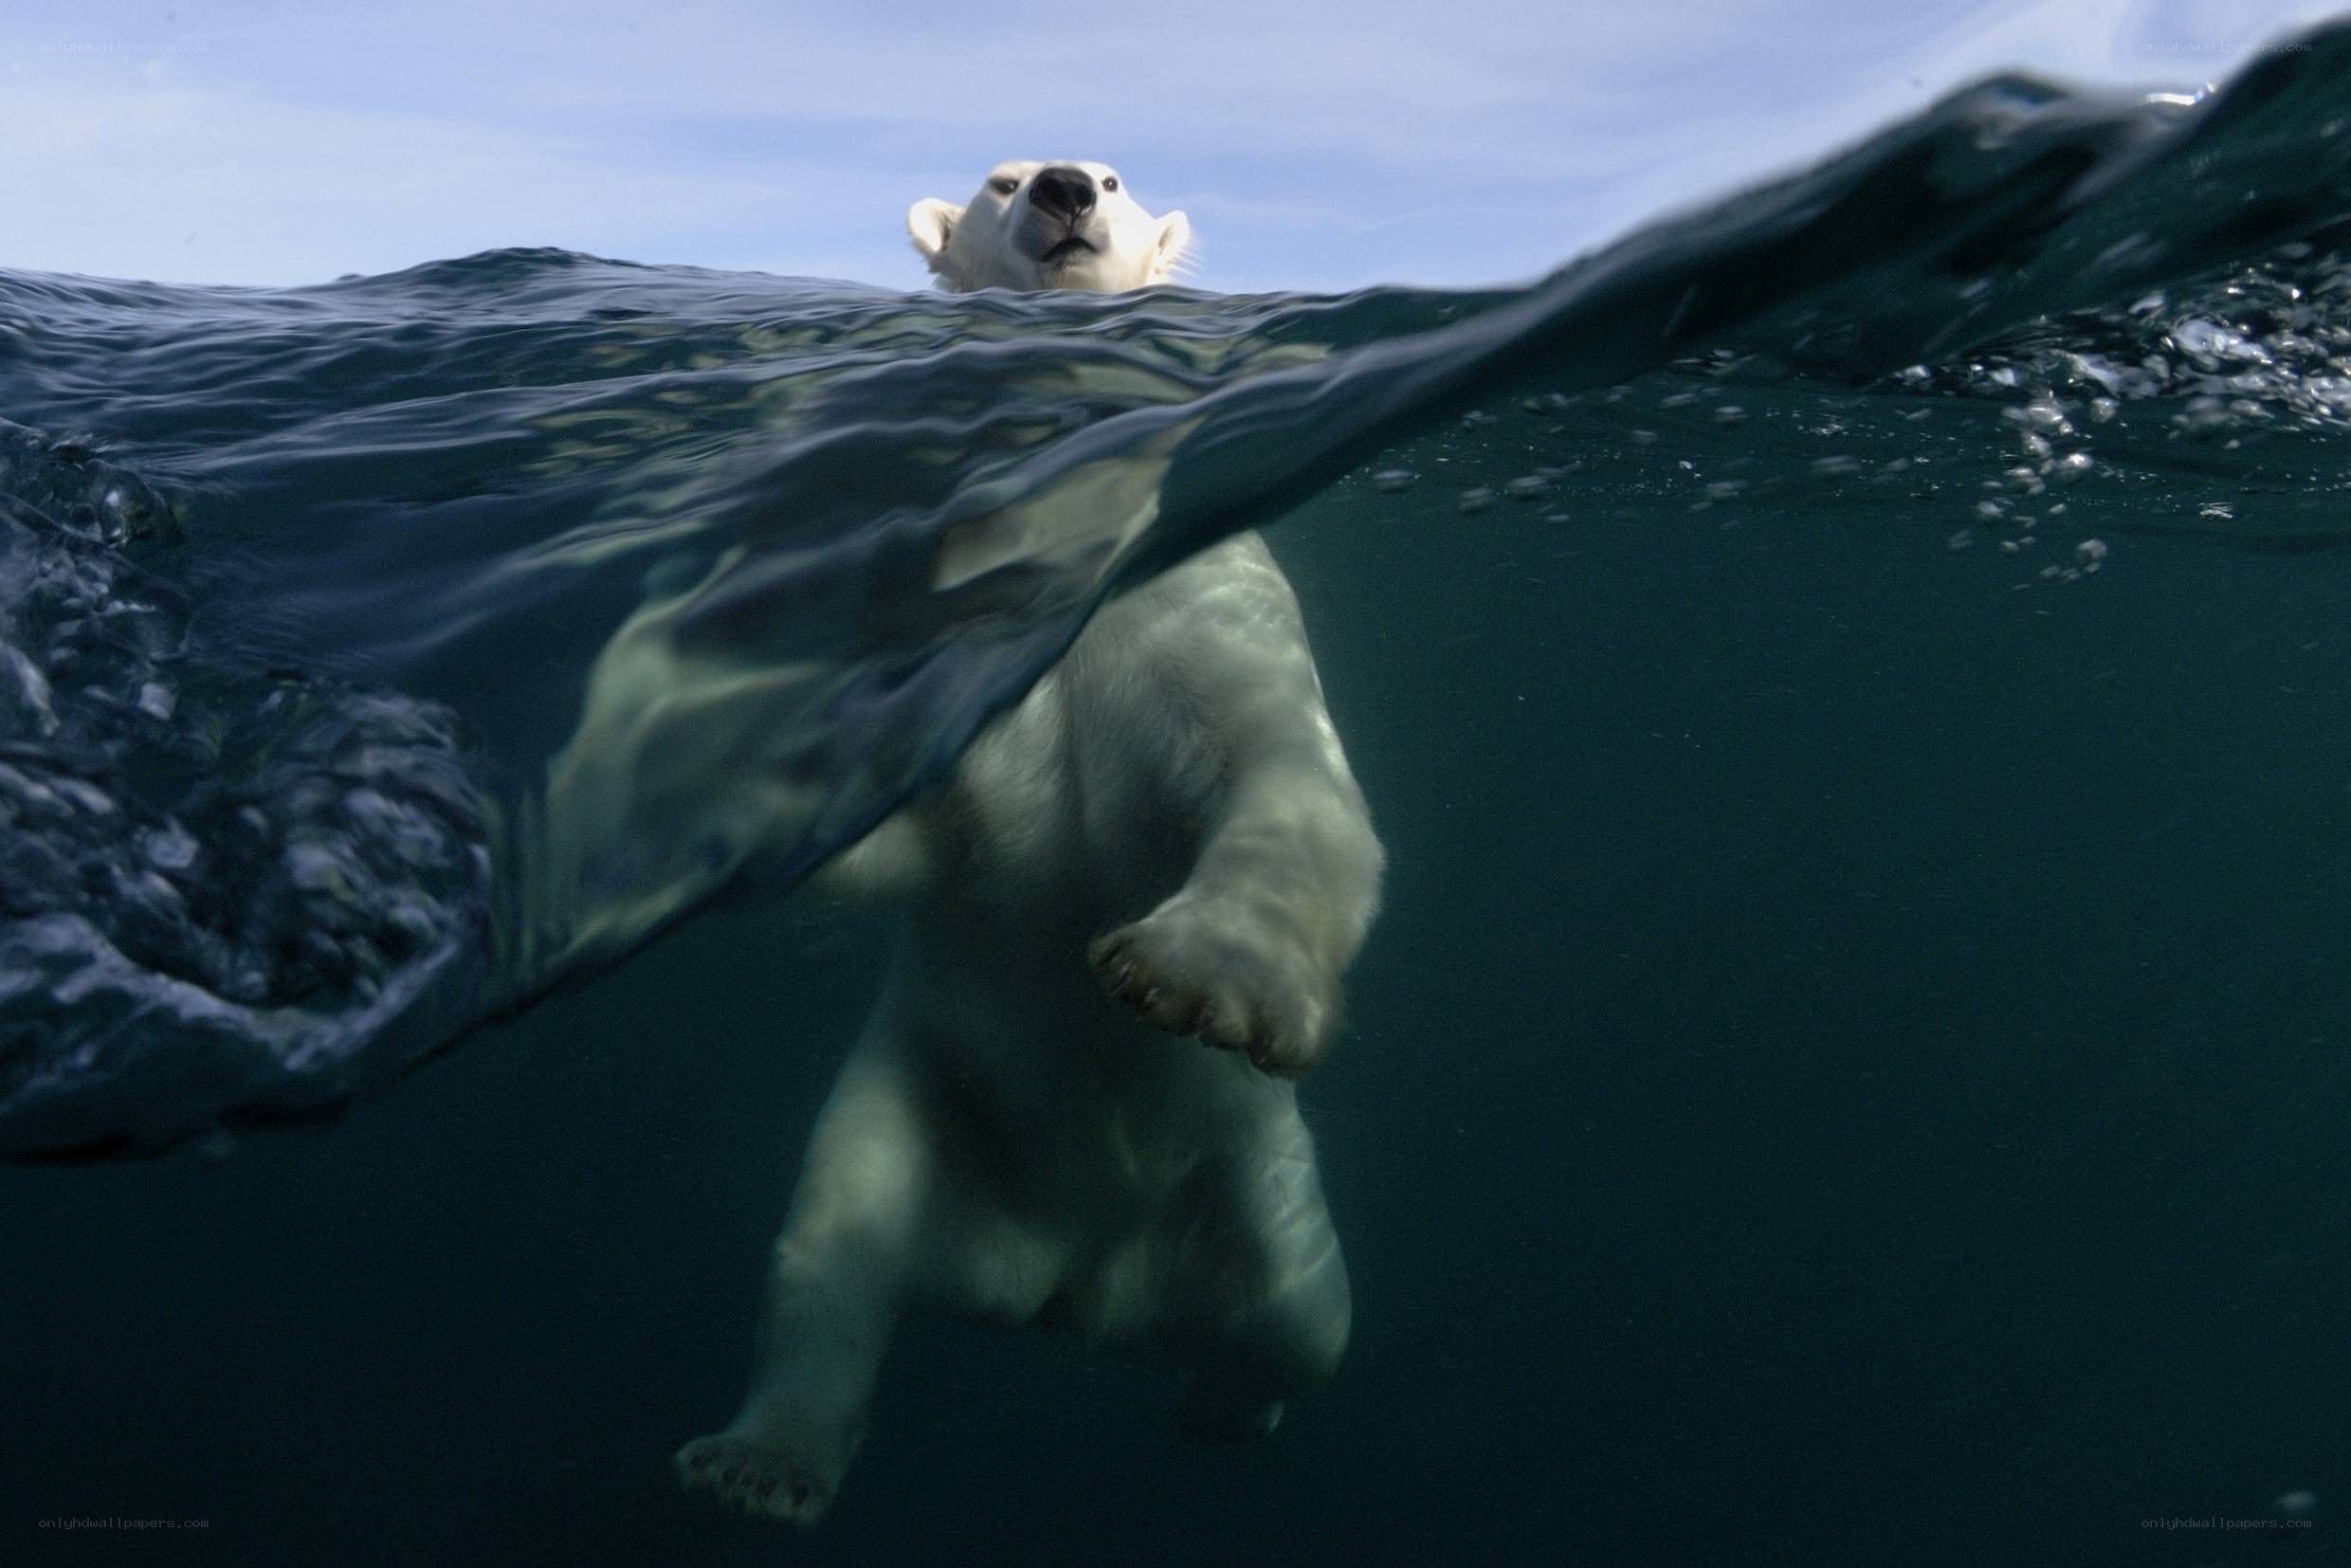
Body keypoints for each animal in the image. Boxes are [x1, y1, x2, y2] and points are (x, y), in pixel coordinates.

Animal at [673, 161, 1383, 1526]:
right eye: (999, 180)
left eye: (1112, 178)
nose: (1060, 189)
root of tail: (1074, 1283)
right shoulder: (952, 642)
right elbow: (904, 836)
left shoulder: (1194, 603)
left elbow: (1278, 769)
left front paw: (1202, 975)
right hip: (919, 1102)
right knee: (832, 1251)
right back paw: (758, 1460)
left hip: (1251, 1175)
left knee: (1303, 1318)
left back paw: (1224, 1405)